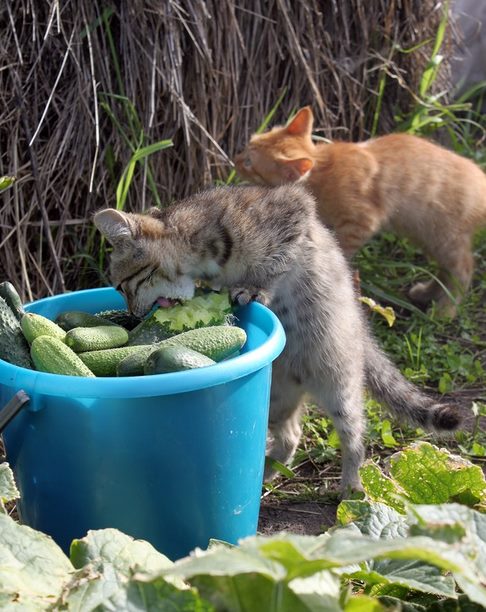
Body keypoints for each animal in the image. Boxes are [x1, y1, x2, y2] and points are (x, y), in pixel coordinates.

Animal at [95, 185, 464, 492]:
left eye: (122, 286)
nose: (134, 317)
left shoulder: (296, 210)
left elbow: (275, 264)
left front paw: (254, 286)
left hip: (338, 385)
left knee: (356, 435)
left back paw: (351, 484)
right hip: (275, 400)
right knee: (291, 436)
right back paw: (267, 472)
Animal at [234, 106, 486, 316]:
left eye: (249, 163)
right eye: (247, 144)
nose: (234, 159)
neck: (322, 171)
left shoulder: (361, 222)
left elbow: (342, 248)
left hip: (446, 239)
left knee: (463, 269)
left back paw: (445, 310)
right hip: (427, 236)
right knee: (445, 271)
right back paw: (426, 293)